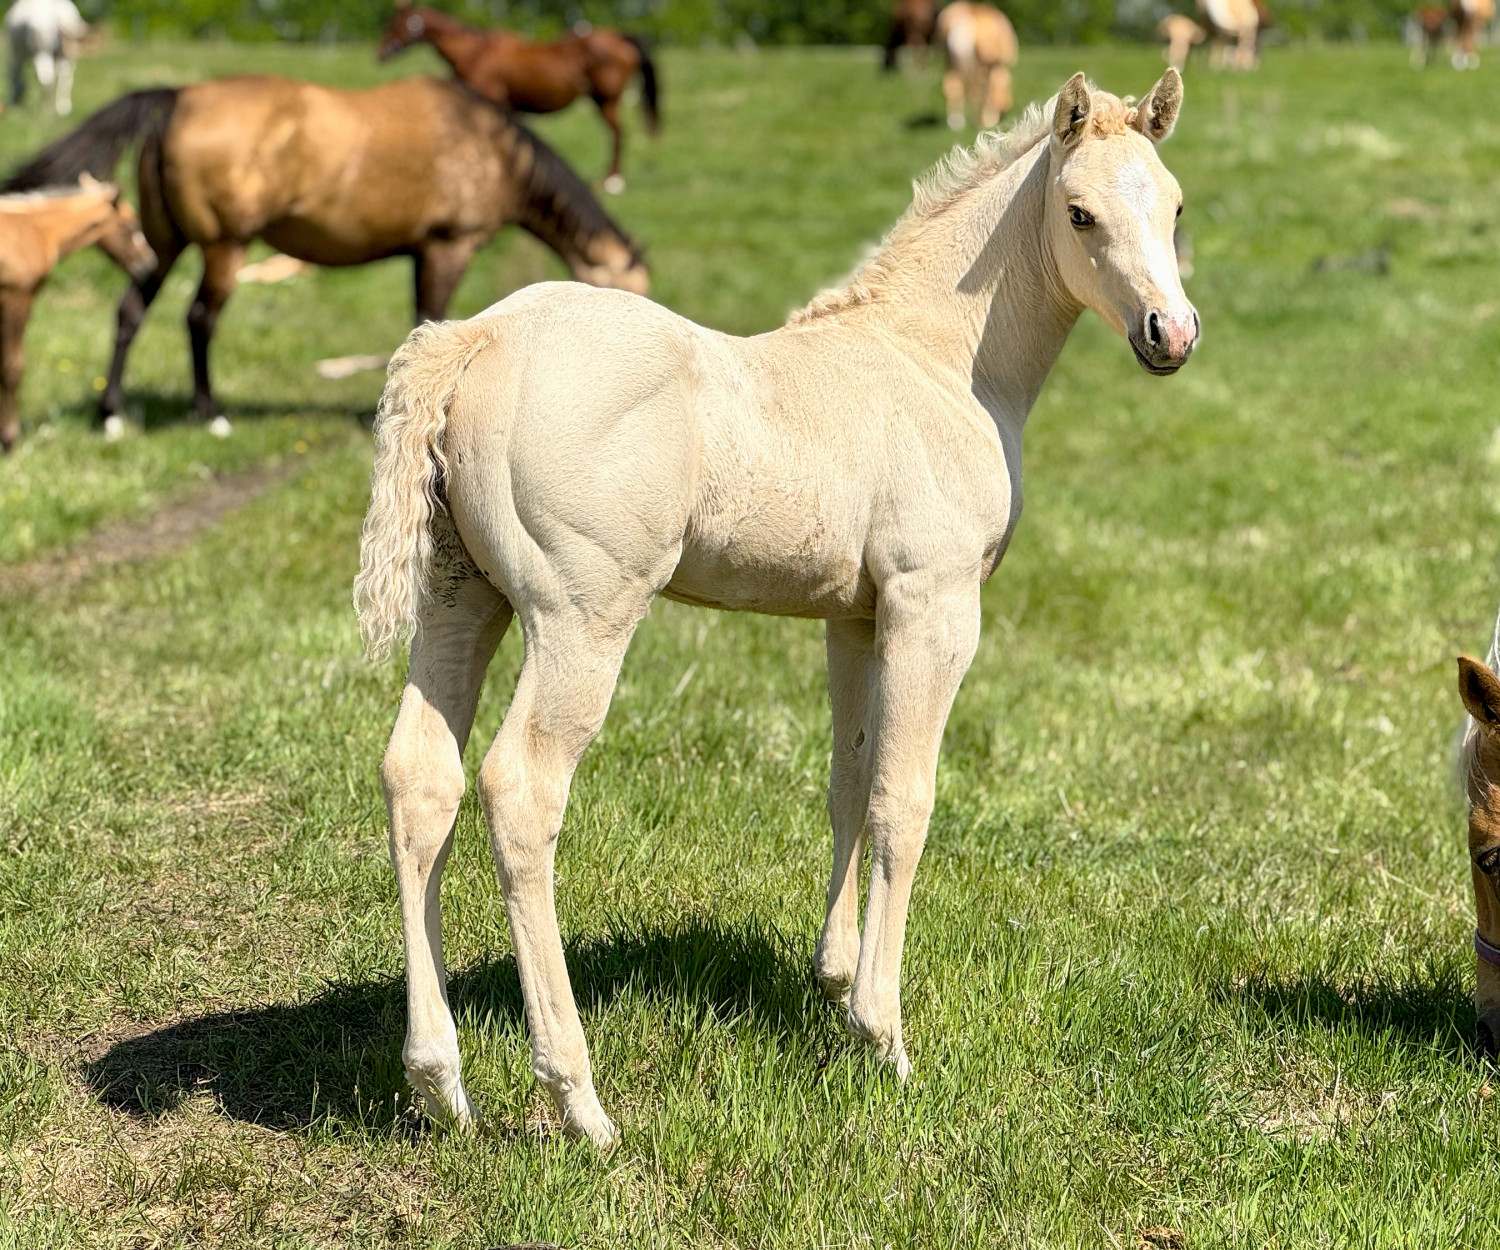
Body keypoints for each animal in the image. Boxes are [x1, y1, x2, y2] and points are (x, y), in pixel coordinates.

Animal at [0, 177, 153, 452]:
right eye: (130, 226)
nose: (149, 265)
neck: (34, 231)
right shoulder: (16, 299)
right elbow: (12, 367)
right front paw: (9, 440)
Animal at [353, 70, 1197, 1148]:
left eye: (1174, 206)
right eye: (1081, 213)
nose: (1171, 334)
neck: (934, 360)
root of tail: (478, 336)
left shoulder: (858, 616)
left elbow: (849, 781)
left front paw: (833, 984)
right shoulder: (935, 607)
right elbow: (905, 799)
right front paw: (884, 1036)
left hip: (464, 597)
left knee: (421, 778)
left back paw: (439, 1083)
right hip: (581, 618)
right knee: (520, 791)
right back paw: (579, 1100)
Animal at [377, 5, 659, 195]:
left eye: (395, 24)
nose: (380, 53)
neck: (474, 53)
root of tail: (620, 37)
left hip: (606, 101)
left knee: (618, 134)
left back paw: (613, 181)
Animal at [934, 1, 1019, 130]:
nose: (1005, 111)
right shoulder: (994, 63)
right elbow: (989, 88)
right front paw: (989, 120)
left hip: (949, 61)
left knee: (953, 86)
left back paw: (956, 123)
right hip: (982, 62)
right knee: (979, 90)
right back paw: (983, 122)